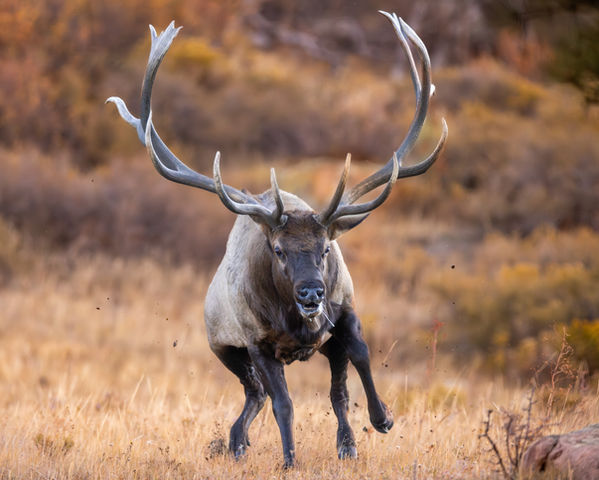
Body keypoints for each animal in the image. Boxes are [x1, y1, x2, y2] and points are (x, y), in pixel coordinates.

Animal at [107, 10, 447, 468]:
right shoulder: (258, 342)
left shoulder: (344, 310)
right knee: (258, 395)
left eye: (326, 249)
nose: (311, 293)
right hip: (227, 349)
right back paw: (236, 444)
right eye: (279, 250)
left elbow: (357, 361)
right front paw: (289, 459)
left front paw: (379, 421)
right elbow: (285, 403)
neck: (296, 323)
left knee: (314, 393)